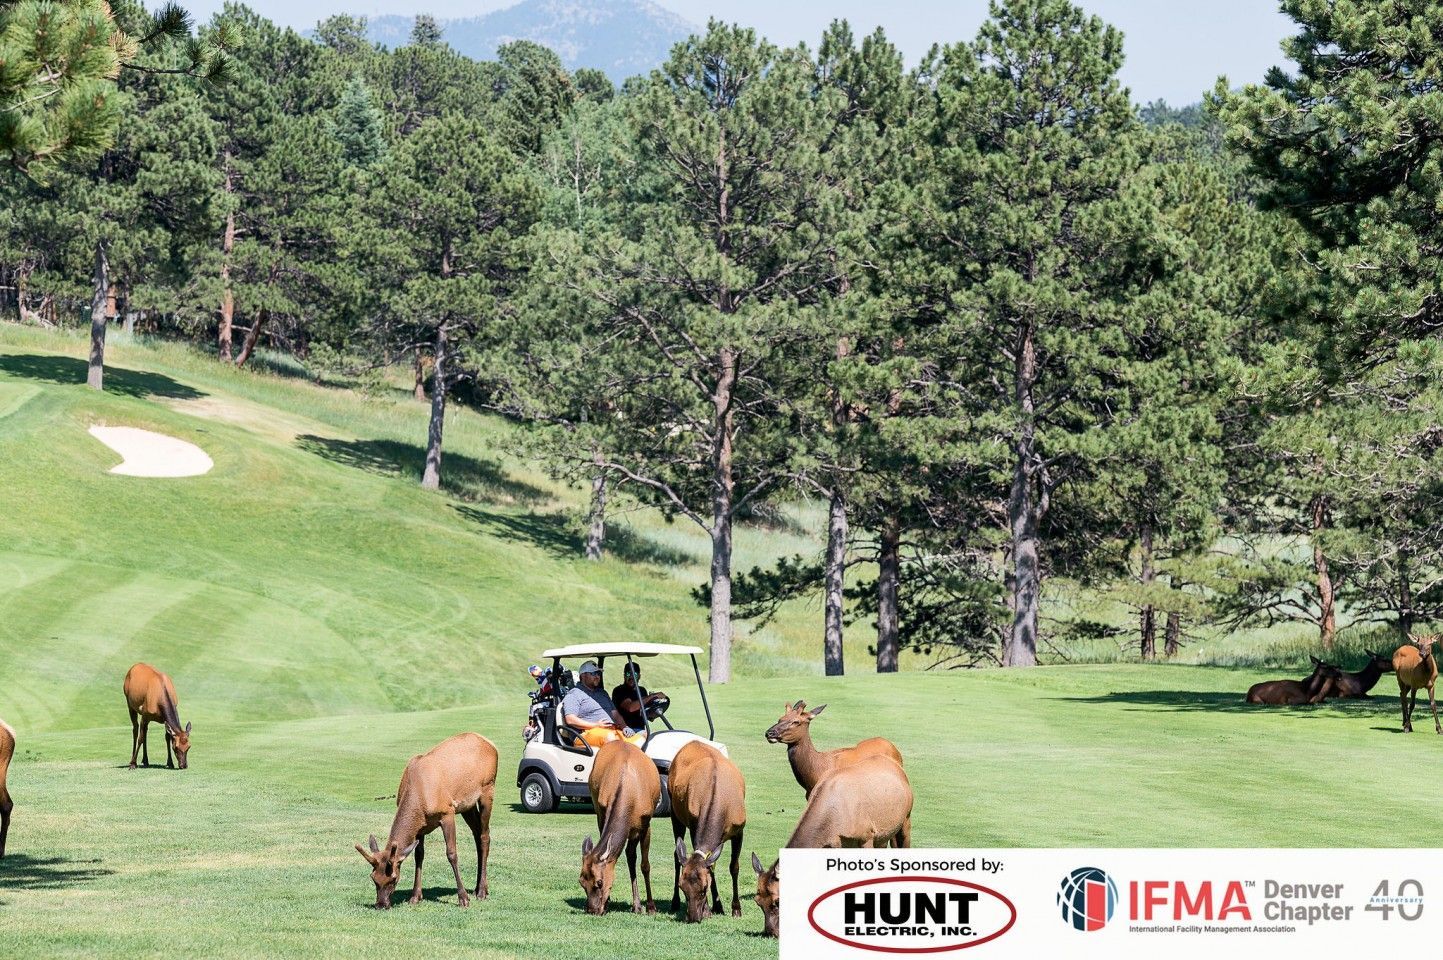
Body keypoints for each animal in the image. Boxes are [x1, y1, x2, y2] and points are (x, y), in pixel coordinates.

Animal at [355, 732, 498, 909]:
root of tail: (491, 744)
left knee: (485, 835)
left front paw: (463, 898)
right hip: (467, 806)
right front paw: (415, 896)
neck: (419, 797)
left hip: (488, 788)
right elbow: (419, 855)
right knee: (477, 834)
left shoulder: (447, 812)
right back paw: (479, 887)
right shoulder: (420, 827)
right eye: (373, 878)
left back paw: (481, 892)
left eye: (393, 879)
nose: (381, 904)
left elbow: (452, 853)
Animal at [580, 739, 660, 916]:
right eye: (581, 881)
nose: (592, 910)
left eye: (599, 882)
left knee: (631, 855)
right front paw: (609, 902)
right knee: (630, 854)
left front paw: (651, 906)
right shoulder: (602, 811)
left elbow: (645, 865)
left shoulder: (646, 823)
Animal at [668, 740, 746, 922]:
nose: (693, 917)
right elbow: (712, 865)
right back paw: (674, 902)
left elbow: (733, 867)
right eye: (682, 887)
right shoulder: (694, 823)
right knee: (676, 855)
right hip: (675, 812)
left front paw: (735, 909)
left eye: (704, 888)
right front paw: (711, 909)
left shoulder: (739, 829)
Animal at [749, 754, 913, 939]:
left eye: (777, 901)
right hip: (883, 837)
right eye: (757, 901)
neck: (833, 822)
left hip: (905, 819)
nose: (771, 933)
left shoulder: (867, 836)